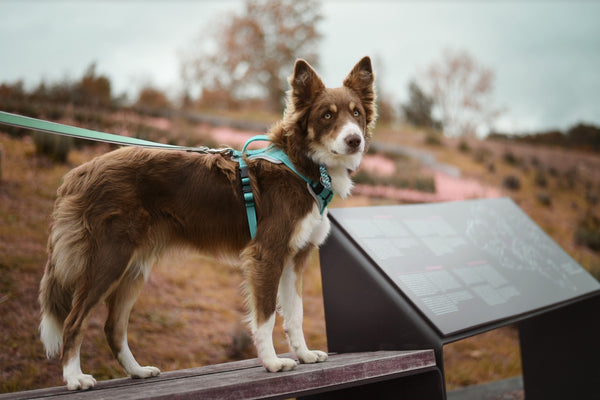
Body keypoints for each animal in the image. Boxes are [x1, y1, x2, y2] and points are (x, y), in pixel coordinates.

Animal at [38, 57, 376, 390]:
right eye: (326, 115)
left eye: (356, 113)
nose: (354, 140)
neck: (301, 166)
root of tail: (79, 173)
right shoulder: (267, 254)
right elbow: (266, 316)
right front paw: (272, 363)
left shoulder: (296, 257)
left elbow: (296, 314)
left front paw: (304, 355)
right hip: (108, 260)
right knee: (74, 321)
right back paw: (74, 378)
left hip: (133, 269)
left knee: (113, 327)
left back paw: (137, 371)